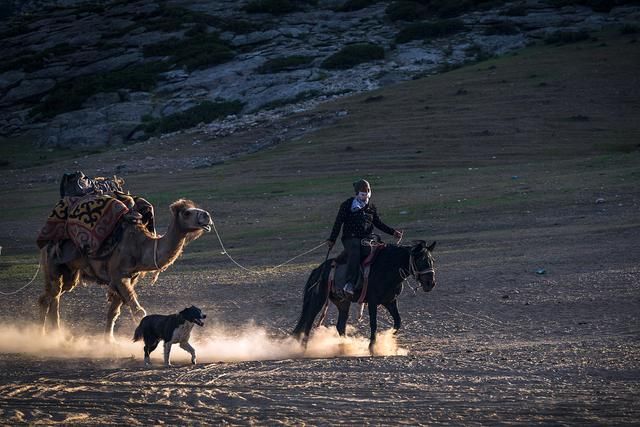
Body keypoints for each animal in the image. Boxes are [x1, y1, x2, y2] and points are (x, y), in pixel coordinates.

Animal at [38, 198, 212, 342]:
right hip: (53, 264)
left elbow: (113, 312)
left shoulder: (130, 278)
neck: (140, 247)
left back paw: (56, 334)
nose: (207, 216)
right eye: (187, 212)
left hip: (70, 272)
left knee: (54, 296)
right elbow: (139, 312)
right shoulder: (118, 275)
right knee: (50, 296)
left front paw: (109, 342)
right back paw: (43, 335)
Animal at [294, 239, 436, 352]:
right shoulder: (373, 302)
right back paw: (304, 348)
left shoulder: (390, 301)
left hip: (342, 302)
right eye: (421, 260)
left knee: (340, 326)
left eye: (432, 260)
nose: (431, 283)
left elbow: (398, 322)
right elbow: (374, 324)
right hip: (319, 299)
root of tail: (318, 269)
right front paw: (372, 347)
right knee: (309, 319)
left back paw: (345, 346)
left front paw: (388, 340)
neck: (387, 268)